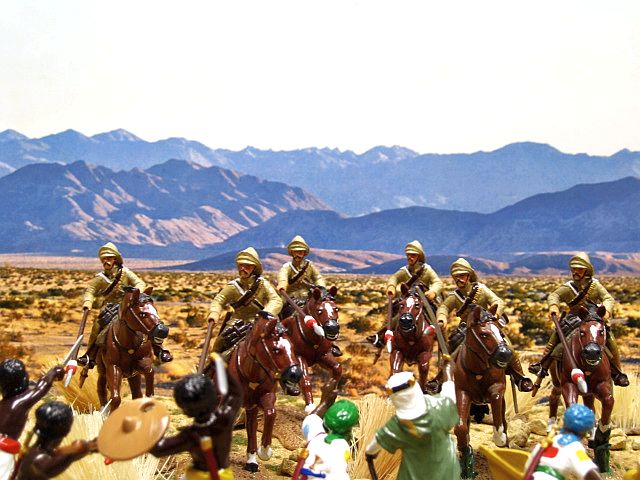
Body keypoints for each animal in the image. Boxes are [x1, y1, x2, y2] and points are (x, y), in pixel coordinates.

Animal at [224, 312, 304, 472]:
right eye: (275, 350)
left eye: (292, 347)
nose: (296, 374)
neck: (251, 373)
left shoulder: (265, 397)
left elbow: (271, 413)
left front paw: (265, 452)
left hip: (251, 407)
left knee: (251, 426)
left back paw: (251, 461)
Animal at [282, 284, 342, 412]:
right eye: (319, 311)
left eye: (336, 309)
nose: (332, 328)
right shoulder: (299, 357)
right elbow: (305, 380)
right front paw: (310, 406)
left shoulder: (323, 355)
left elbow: (337, 368)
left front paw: (330, 392)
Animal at [452, 306, 512, 478]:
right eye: (484, 334)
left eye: (500, 332)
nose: (505, 354)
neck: (478, 371)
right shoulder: (462, 393)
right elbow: (461, 428)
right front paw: (466, 456)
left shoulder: (498, 388)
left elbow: (498, 414)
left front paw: (500, 438)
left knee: (503, 420)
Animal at [548, 308, 612, 472]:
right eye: (582, 332)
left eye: (601, 331)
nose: (592, 352)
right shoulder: (568, 386)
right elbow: (572, 405)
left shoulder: (603, 385)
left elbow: (608, 401)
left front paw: (601, 439)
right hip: (557, 382)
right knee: (553, 397)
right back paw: (550, 426)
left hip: (589, 393)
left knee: (590, 407)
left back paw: (593, 436)